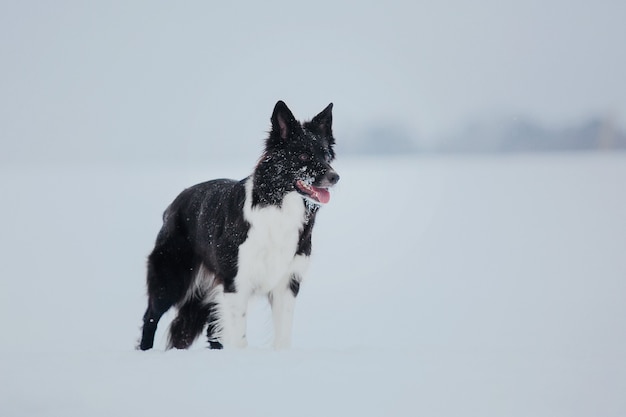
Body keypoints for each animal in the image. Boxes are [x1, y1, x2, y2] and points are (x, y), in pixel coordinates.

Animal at [139, 100, 338, 348]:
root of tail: (174, 204)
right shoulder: (236, 283)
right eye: (302, 156)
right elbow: (240, 338)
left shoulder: (287, 283)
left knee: (212, 330)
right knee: (150, 316)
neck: (280, 208)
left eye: (326, 155)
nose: (335, 177)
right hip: (170, 278)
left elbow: (282, 338)